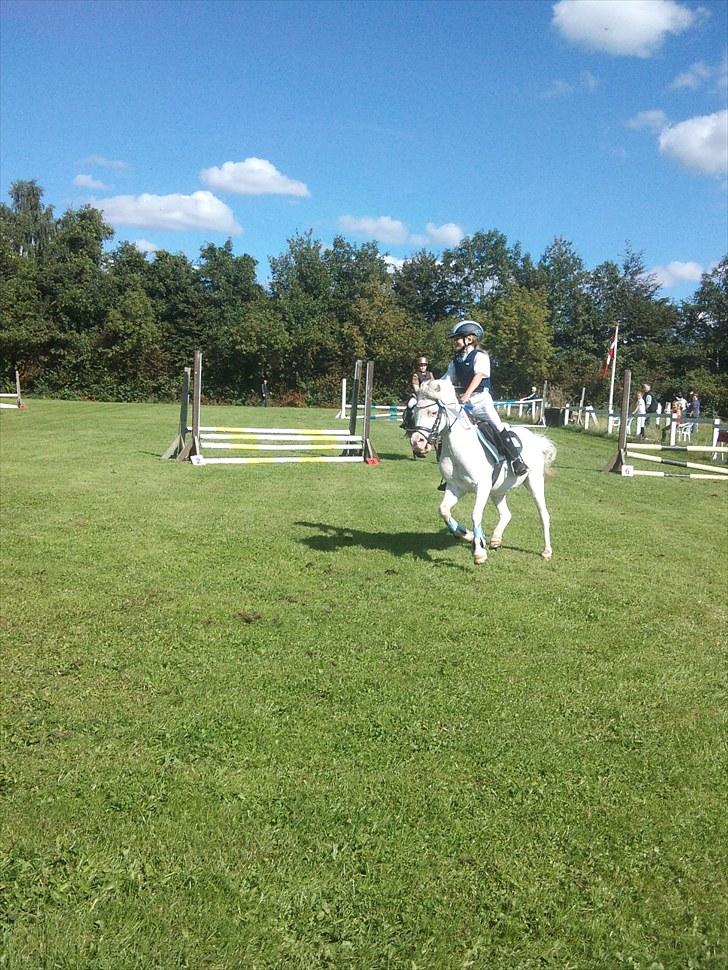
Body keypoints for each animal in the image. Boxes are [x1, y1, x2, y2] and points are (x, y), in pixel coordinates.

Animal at [406, 378, 556, 564]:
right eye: (414, 413)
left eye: (433, 412)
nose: (417, 443)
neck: (459, 448)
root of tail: (535, 439)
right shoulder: (455, 488)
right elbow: (444, 510)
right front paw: (466, 535)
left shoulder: (482, 488)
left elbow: (475, 515)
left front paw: (478, 552)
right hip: (497, 490)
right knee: (506, 514)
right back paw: (495, 540)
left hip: (534, 483)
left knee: (544, 515)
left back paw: (547, 551)